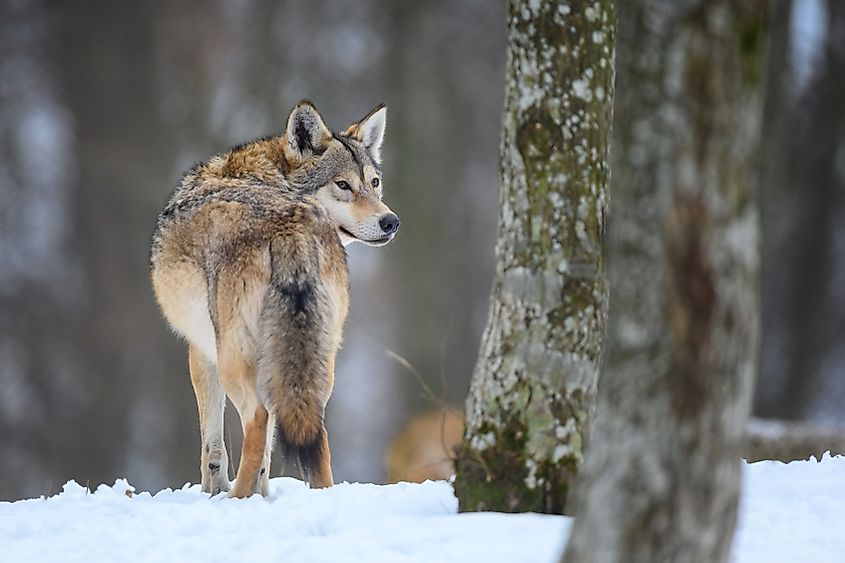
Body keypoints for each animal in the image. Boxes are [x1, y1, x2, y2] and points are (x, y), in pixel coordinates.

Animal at [150, 101, 399, 498]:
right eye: (344, 185)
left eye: (373, 184)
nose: (391, 221)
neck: (266, 174)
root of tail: (289, 224)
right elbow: (267, 451)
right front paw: (262, 496)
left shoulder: (200, 351)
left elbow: (212, 444)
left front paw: (215, 492)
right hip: (317, 363)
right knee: (312, 429)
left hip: (233, 360)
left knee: (257, 418)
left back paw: (235, 499)